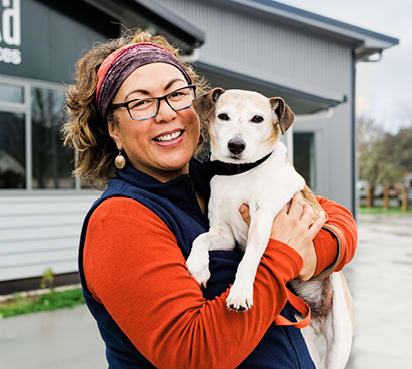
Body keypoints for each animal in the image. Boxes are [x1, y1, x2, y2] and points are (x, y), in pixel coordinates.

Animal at [187, 88, 354, 368]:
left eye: (258, 118)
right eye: (223, 116)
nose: (236, 145)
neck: (239, 174)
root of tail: (317, 316)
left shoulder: (263, 220)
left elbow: (248, 260)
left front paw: (240, 292)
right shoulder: (223, 234)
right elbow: (199, 238)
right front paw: (197, 266)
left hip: (339, 338)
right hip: (306, 337)